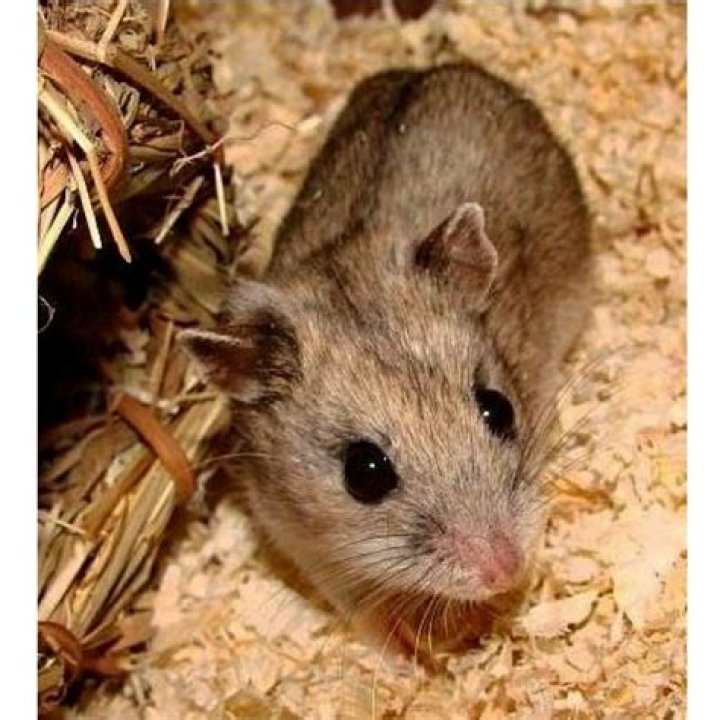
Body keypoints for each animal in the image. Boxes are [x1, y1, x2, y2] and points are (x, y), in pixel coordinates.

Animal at [182, 64, 591, 649]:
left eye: (499, 409)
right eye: (365, 473)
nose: (505, 570)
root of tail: (428, 67)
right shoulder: (299, 537)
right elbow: (360, 605)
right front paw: (414, 654)